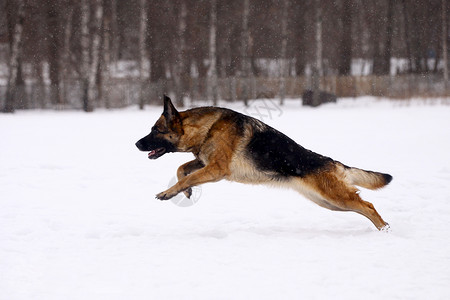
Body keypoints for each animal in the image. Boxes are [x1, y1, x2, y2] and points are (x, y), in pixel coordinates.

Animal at [135, 95, 392, 230]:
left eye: (155, 130)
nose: (136, 143)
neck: (206, 128)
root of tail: (333, 162)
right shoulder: (204, 163)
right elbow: (182, 169)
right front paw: (186, 190)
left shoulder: (216, 169)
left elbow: (186, 175)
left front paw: (169, 192)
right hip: (328, 202)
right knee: (363, 207)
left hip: (335, 197)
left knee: (368, 205)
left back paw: (385, 230)